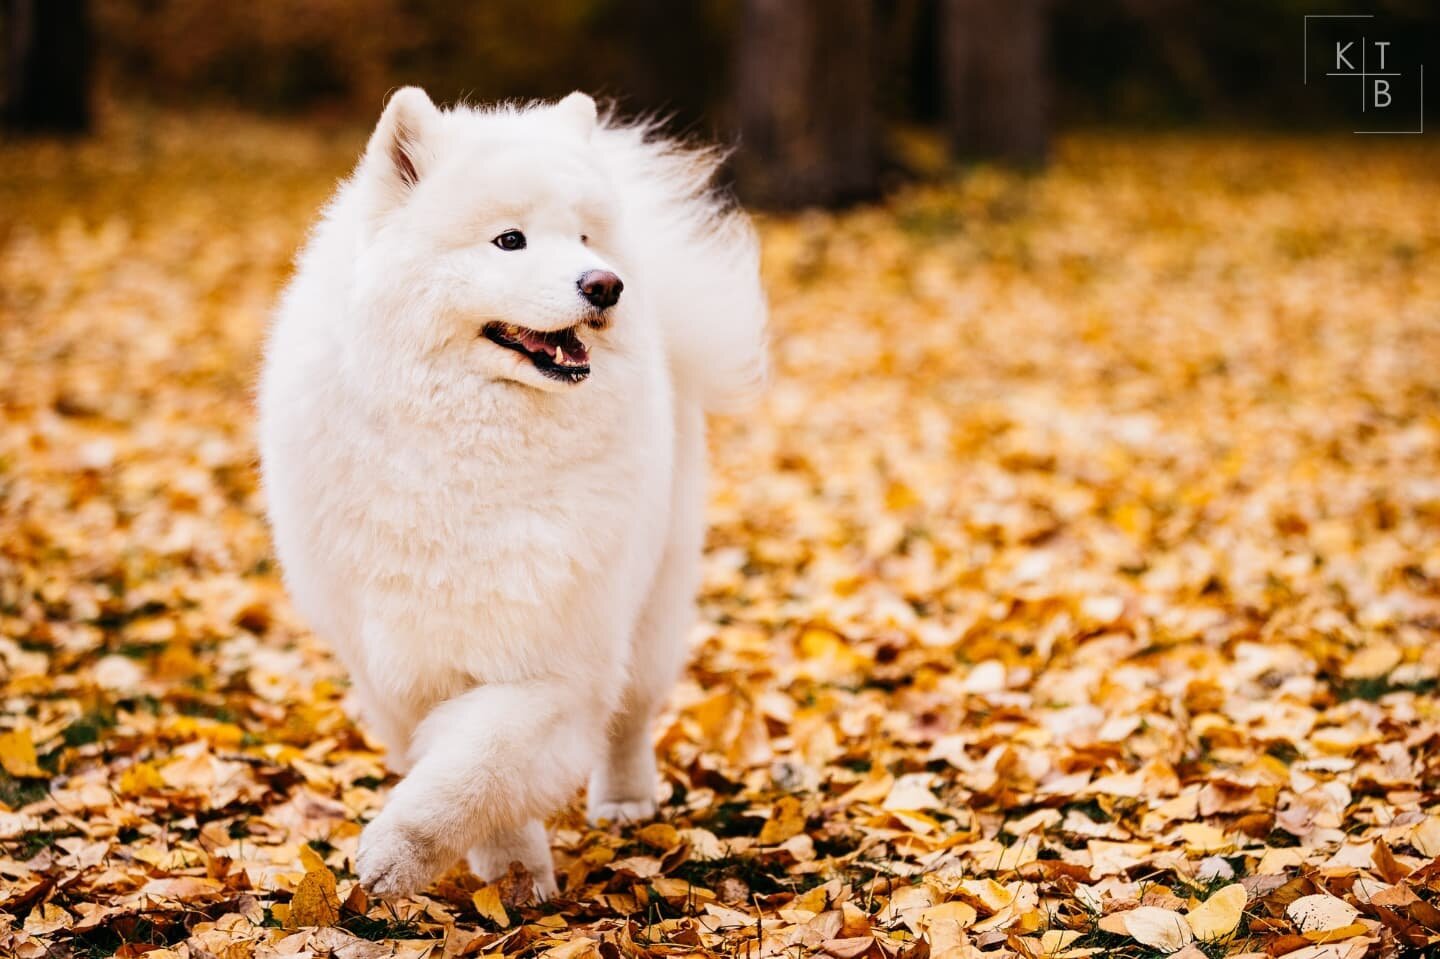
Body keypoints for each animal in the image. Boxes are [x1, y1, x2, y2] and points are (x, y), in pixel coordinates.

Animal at [257, 87, 766, 898]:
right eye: (509, 241)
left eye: (585, 236)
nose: (605, 282)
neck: (473, 451)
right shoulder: (398, 665)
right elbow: (463, 765)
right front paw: (511, 871)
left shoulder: (554, 663)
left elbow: (476, 768)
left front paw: (404, 851)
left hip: (653, 603)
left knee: (630, 715)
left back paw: (625, 799)